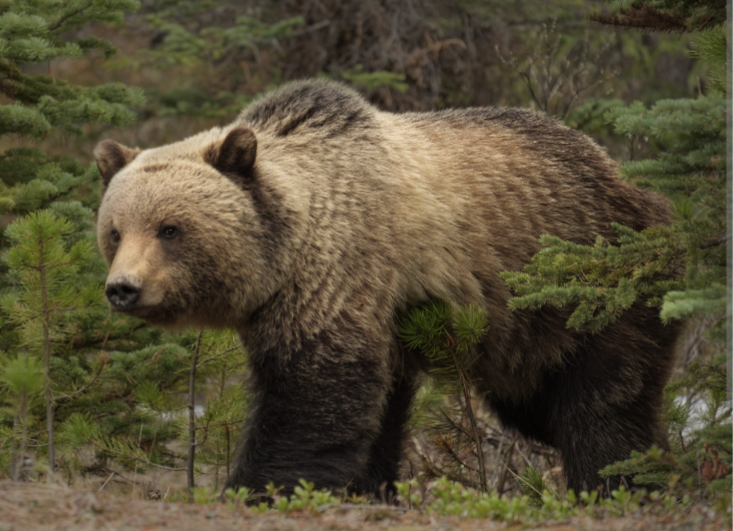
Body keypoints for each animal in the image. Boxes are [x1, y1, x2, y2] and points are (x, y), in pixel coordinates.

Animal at [94, 80, 676, 498]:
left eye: (170, 229)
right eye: (115, 231)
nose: (122, 288)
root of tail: (632, 184)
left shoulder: (340, 272)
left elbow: (310, 397)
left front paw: (255, 490)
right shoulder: (378, 317)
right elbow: (373, 415)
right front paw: (369, 490)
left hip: (592, 294)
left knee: (601, 407)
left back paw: (621, 484)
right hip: (520, 340)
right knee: (541, 409)